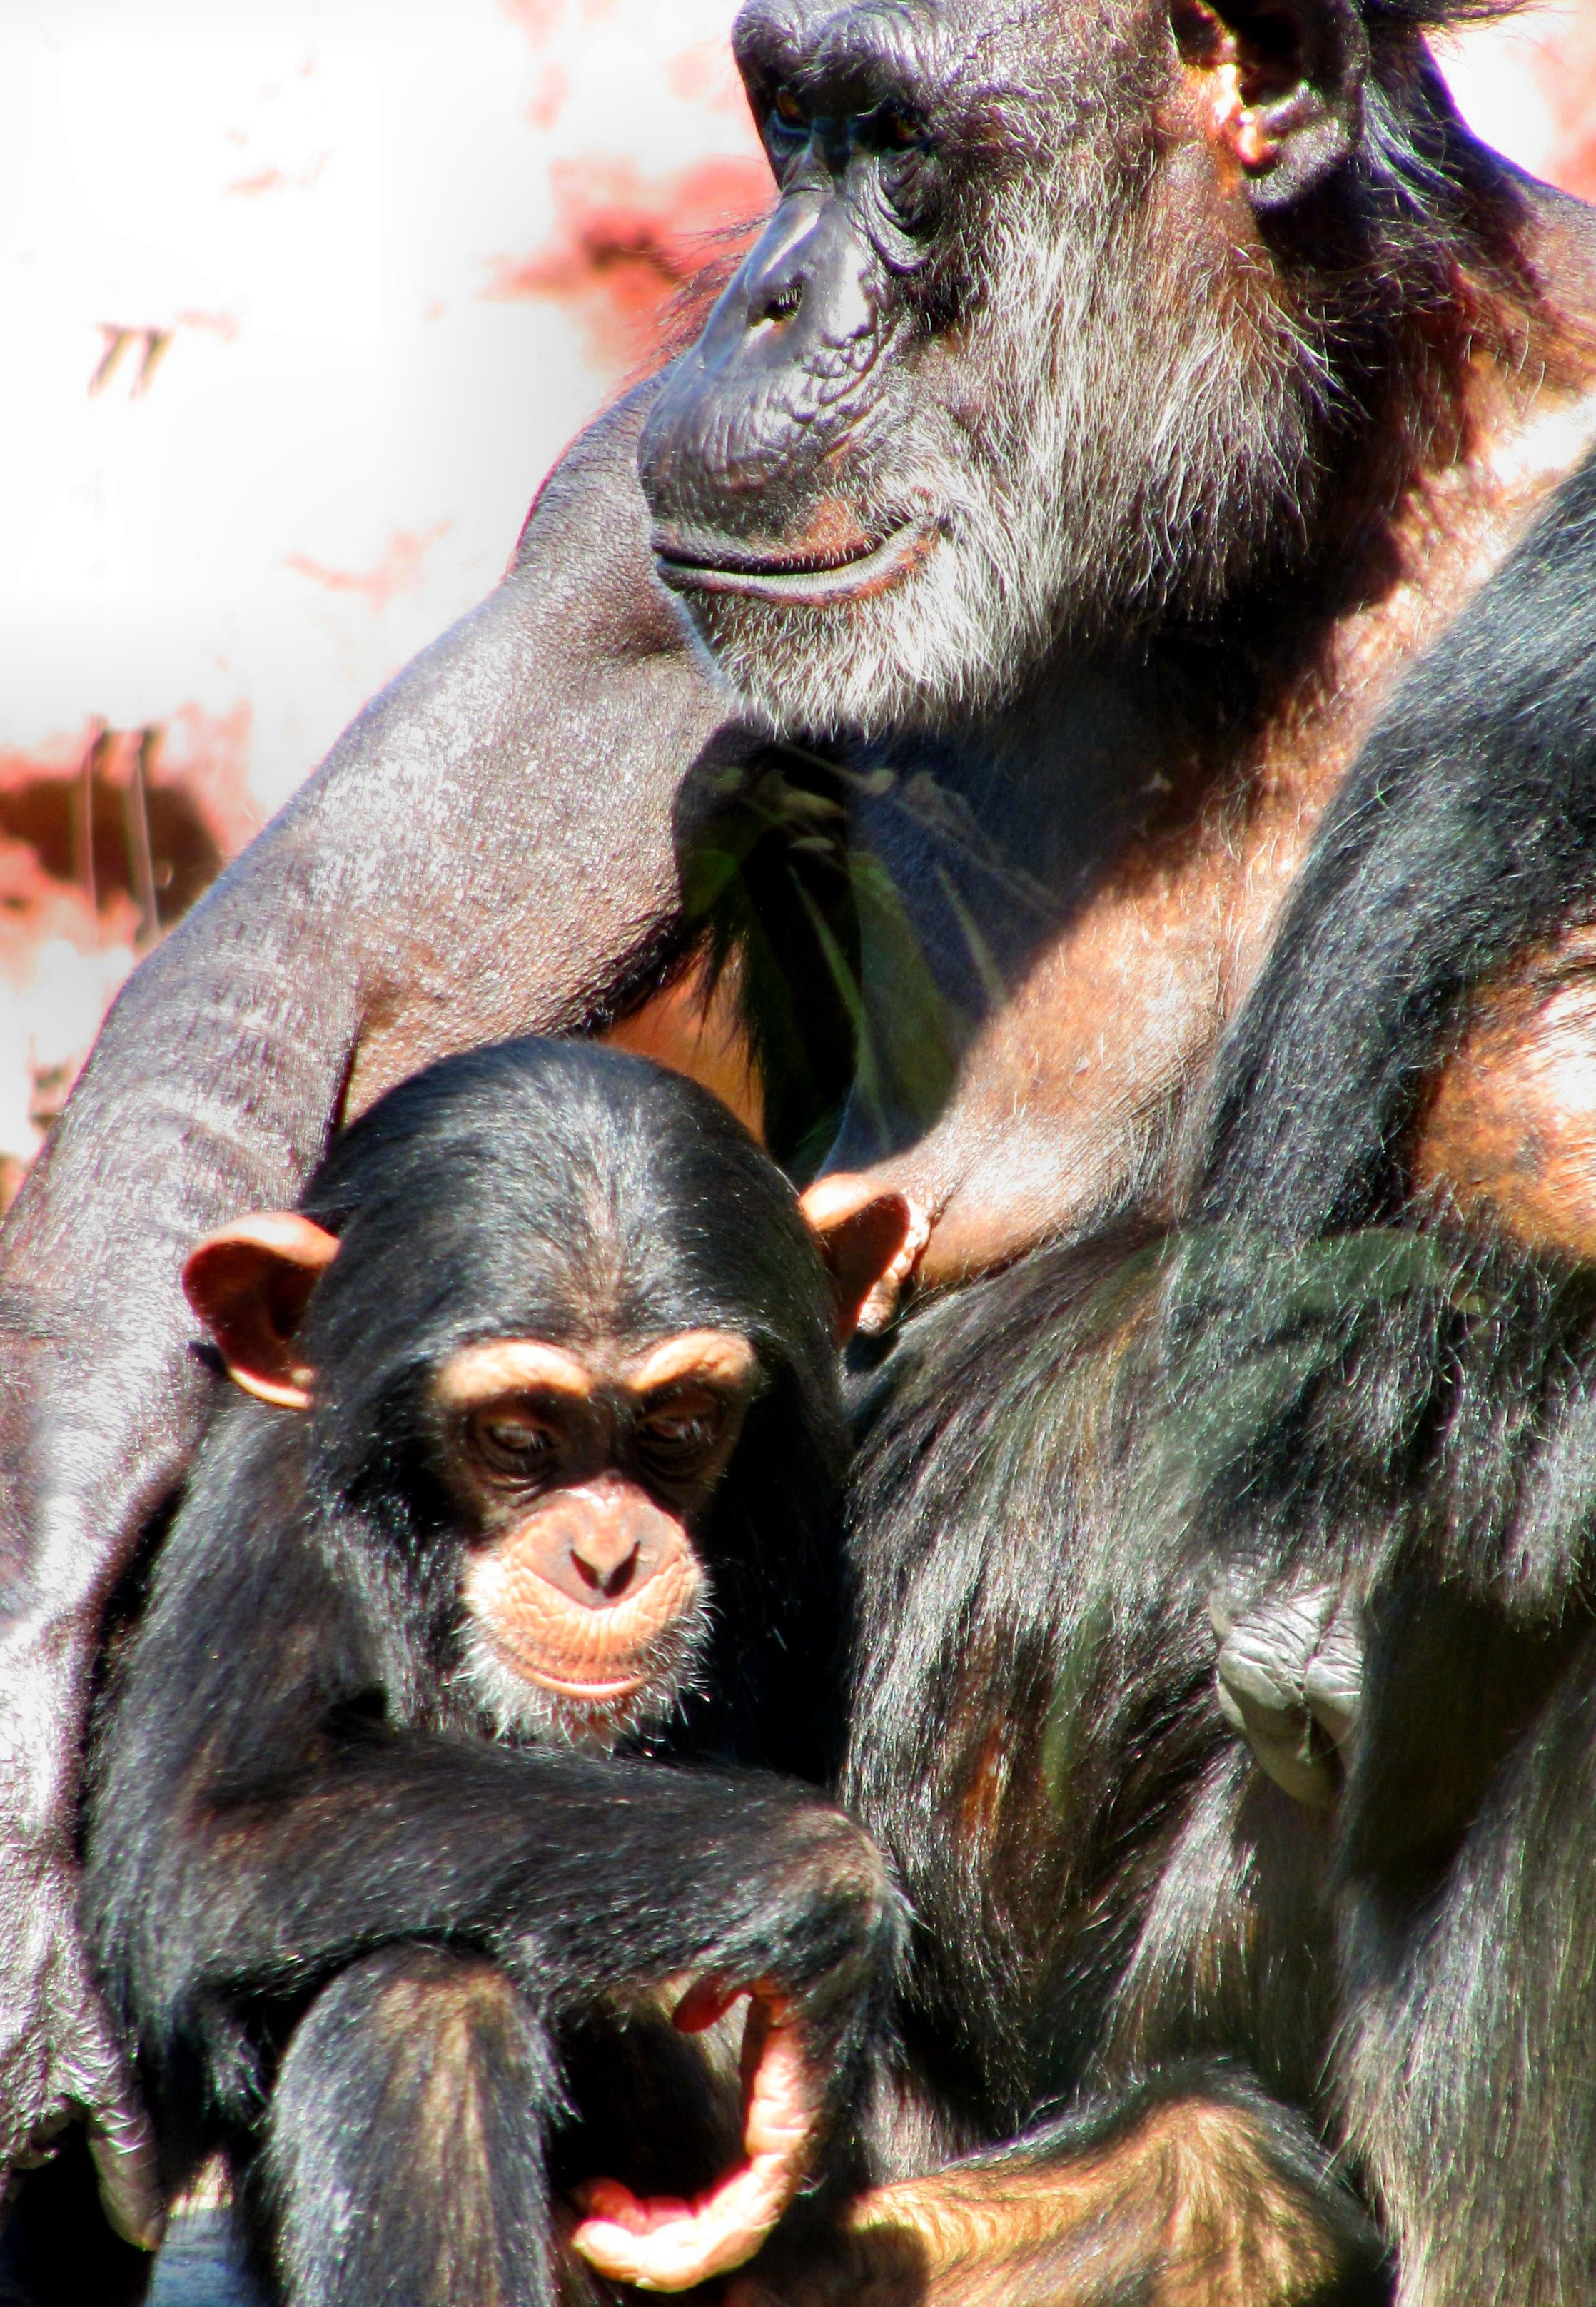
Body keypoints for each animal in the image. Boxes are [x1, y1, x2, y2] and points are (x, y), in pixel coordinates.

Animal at [79, 1036, 910, 2307]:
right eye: (518, 1437)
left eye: (680, 1425)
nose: (606, 1558)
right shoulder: (270, 1498)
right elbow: (210, 1826)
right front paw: (820, 1886)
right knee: (419, 2000)